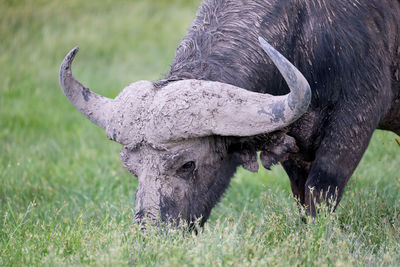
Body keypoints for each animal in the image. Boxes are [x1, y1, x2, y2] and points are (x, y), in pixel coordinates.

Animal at [58, 0, 400, 227]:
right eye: (132, 168)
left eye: (187, 165)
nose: (153, 232)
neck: (304, 28)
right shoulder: (294, 140)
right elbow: (301, 193)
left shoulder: (356, 116)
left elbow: (321, 188)